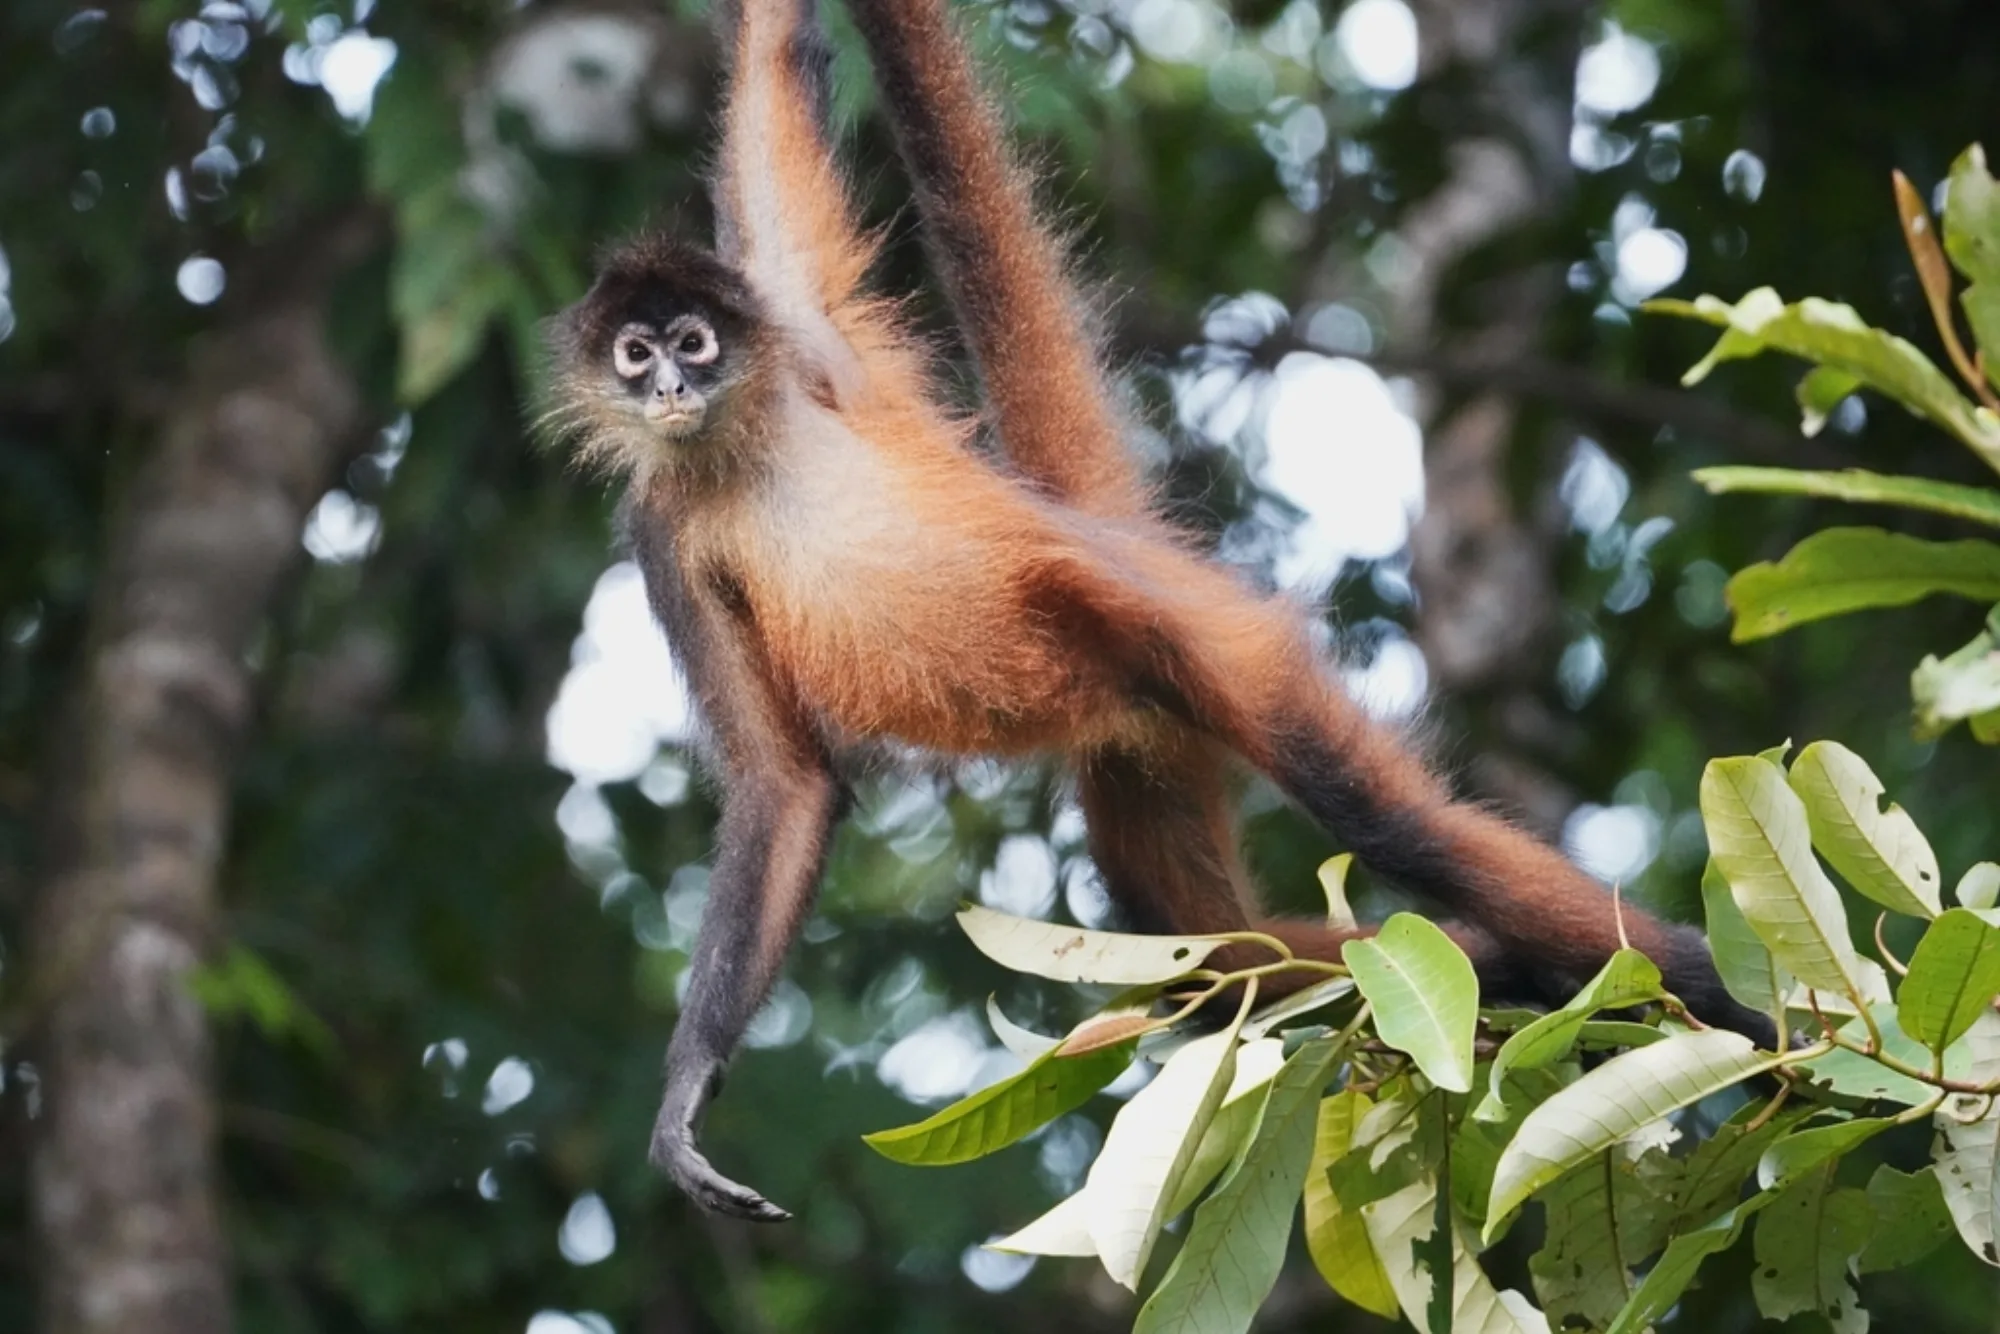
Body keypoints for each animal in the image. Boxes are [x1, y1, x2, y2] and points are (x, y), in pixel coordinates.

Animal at [540, 0, 1766, 1222]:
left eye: (693, 341)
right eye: (634, 352)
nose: (669, 386)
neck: (738, 447)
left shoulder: (804, 339)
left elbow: (777, 97)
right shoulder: (662, 527)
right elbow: (785, 782)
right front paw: (688, 1095)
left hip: (1209, 645)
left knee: (1381, 822)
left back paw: (1716, 995)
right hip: (1142, 746)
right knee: (1211, 957)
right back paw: (1497, 965)